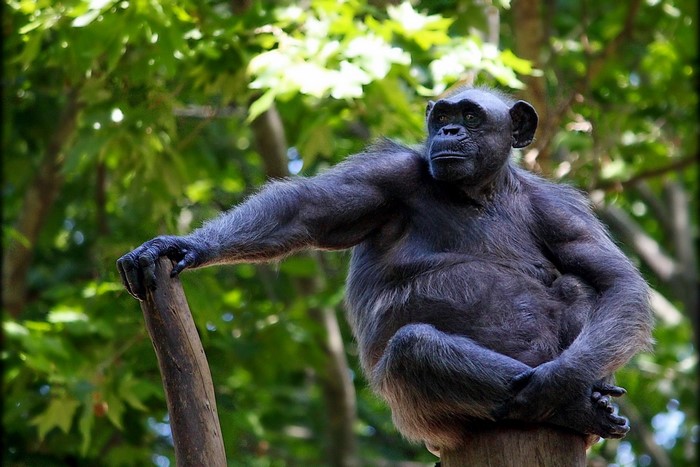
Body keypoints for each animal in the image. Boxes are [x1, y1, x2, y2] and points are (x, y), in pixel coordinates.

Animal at [117, 87, 653, 452]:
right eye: (443, 116)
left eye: (471, 116)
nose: (449, 132)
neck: (480, 192)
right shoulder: (384, 177)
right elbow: (302, 209)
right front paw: (179, 246)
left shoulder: (562, 211)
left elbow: (616, 280)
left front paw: (561, 380)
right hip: (427, 424)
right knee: (414, 350)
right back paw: (578, 408)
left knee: (577, 288)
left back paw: (578, 401)